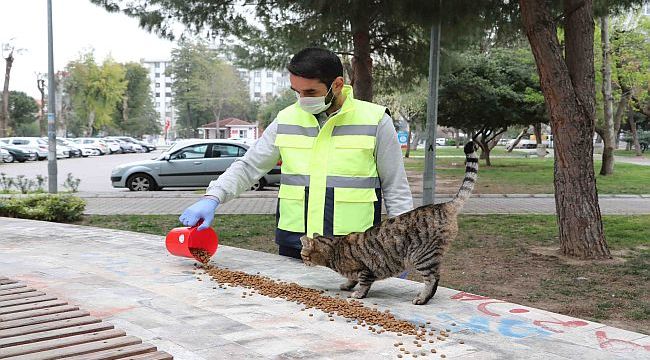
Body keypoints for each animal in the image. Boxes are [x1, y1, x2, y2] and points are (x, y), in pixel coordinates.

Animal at [298, 141, 476, 304]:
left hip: (424, 258)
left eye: (303, 254)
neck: (334, 249)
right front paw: (347, 285)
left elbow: (363, 283)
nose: (302, 261)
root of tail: (444, 205)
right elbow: (351, 280)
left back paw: (422, 298)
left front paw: (357, 294)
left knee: (433, 279)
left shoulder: (365, 270)